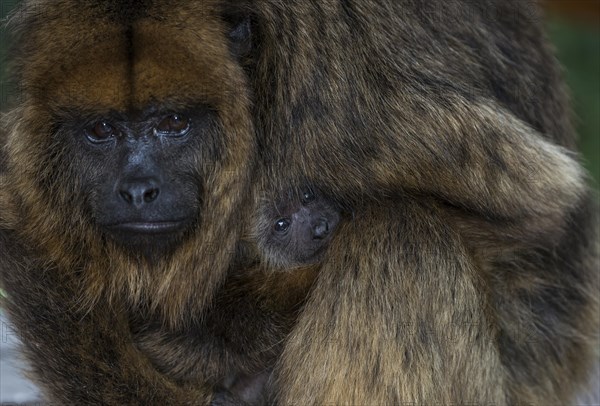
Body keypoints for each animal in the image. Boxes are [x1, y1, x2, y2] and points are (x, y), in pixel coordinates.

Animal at [0, 0, 596, 404]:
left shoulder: (341, 104)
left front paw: (215, 340)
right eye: (100, 131)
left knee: (402, 232)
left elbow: (540, 215)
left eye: (174, 122)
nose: (138, 190)